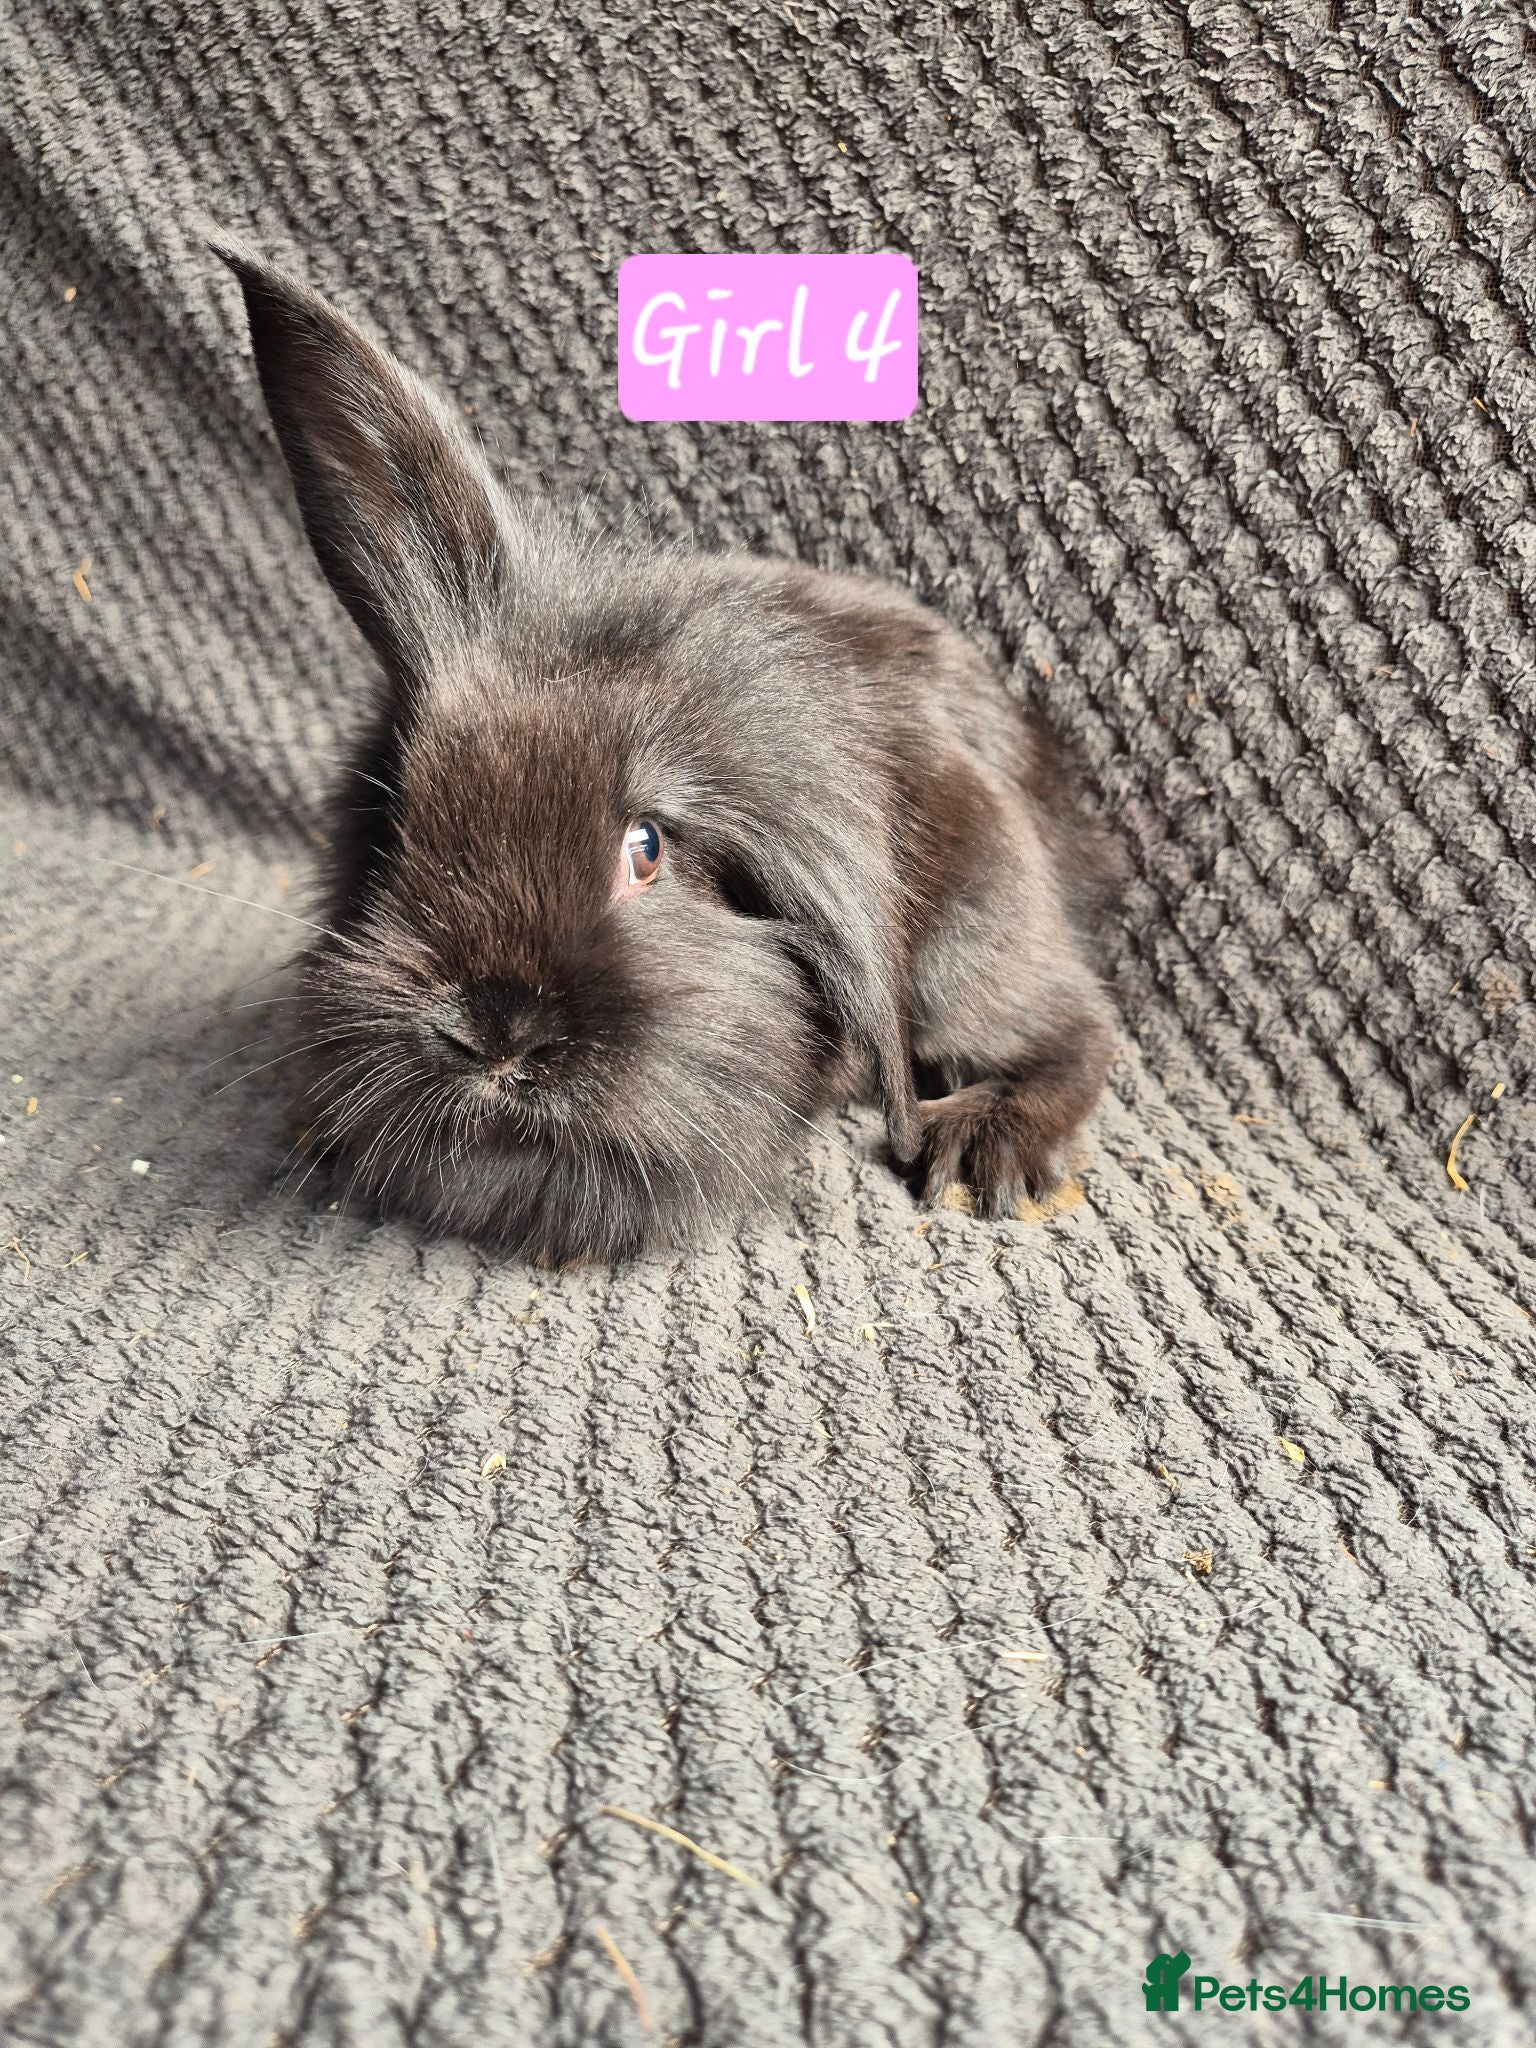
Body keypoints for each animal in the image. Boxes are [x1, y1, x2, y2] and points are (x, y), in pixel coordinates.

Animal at [219, 246, 1123, 1262]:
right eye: (394, 826)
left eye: (647, 847)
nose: (493, 1034)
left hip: (973, 935)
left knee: (1080, 1028)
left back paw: (979, 1148)